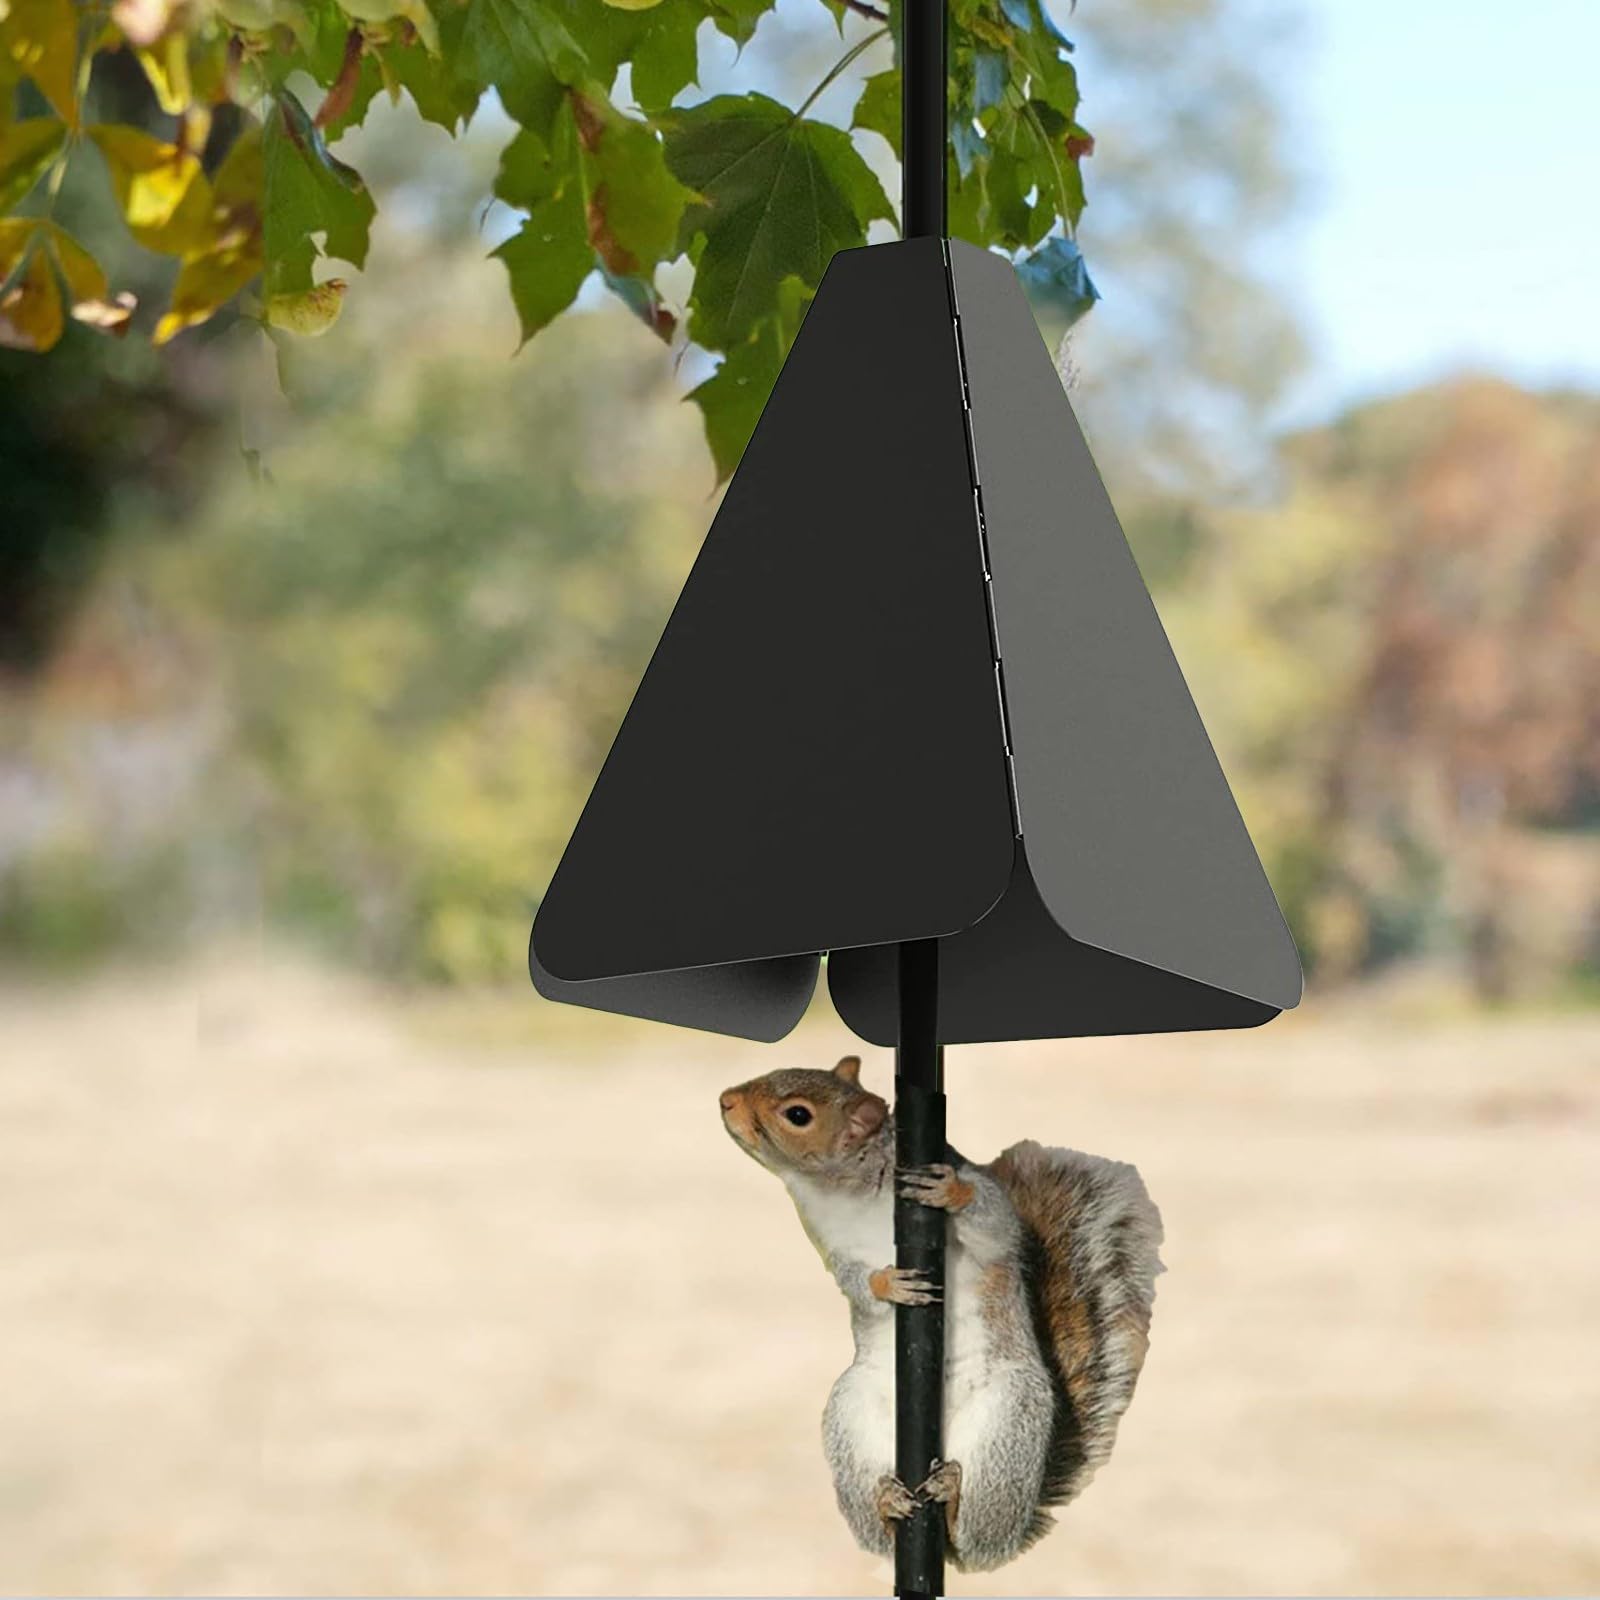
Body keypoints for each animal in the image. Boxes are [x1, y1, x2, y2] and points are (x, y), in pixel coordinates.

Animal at [719, 1054, 1163, 1573]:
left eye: (797, 1115)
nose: (726, 1100)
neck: (845, 1189)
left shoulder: (985, 1210)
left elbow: (995, 1225)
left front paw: (951, 1194)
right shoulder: (832, 1246)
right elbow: (854, 1280)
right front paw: (888, 1285)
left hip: (1009, 1423)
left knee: (975, 1536)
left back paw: (952, 1499)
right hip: (851, 1418)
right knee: (881, 1535)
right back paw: (888, 1504)